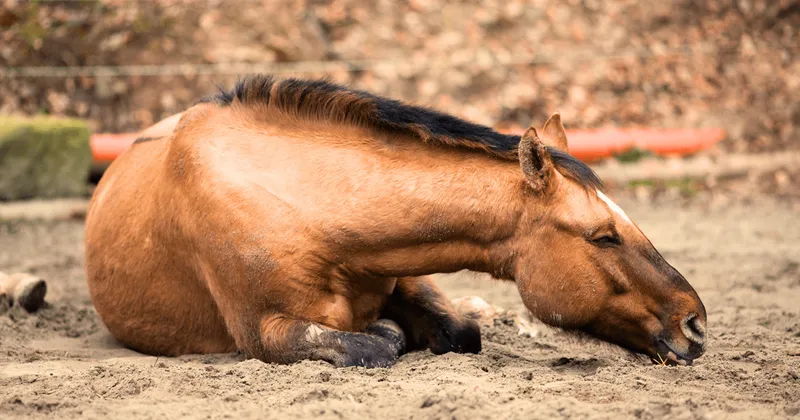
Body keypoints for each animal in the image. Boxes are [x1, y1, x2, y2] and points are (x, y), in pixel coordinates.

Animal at [85, 75, 707, 368]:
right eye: (602, 236)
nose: (695, 324)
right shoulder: (265, 331)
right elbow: (374, 344)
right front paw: (389, 334)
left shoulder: (406, 271)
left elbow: (459, 330)